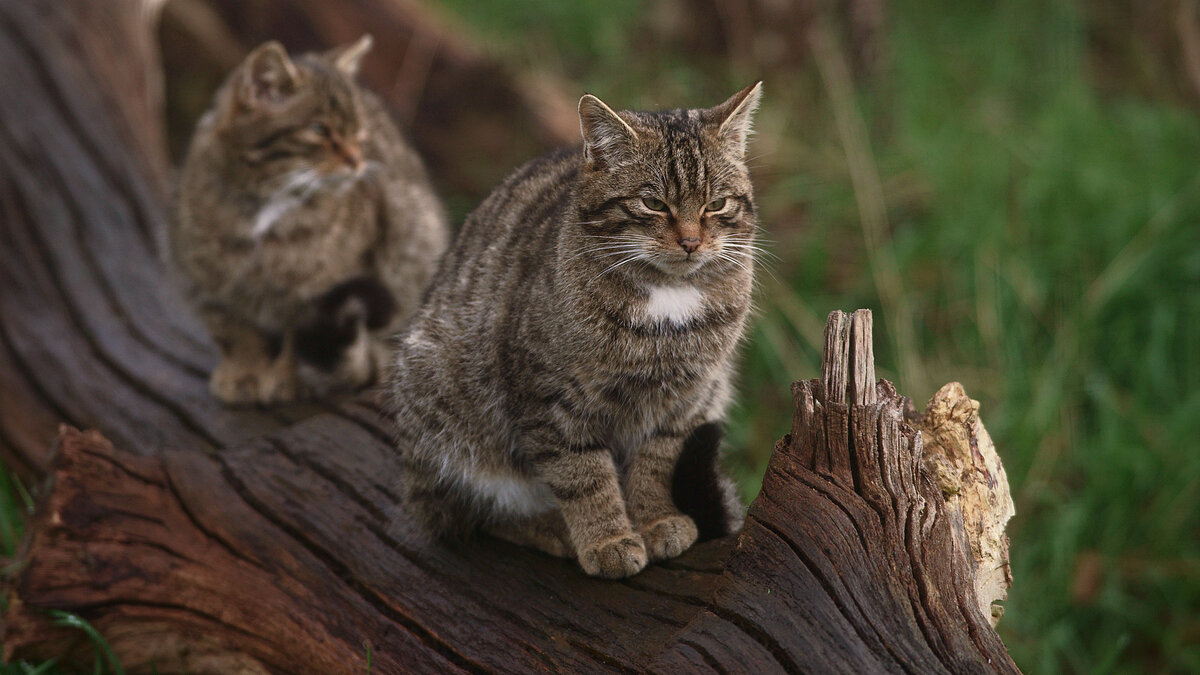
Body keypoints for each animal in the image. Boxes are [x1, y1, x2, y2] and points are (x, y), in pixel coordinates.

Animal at [171, 36, 448, 401]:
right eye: (319, 130)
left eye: (360, 134)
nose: (358, 160)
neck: (268, 201)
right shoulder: (205, 282)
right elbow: (234, 334)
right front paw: (243, 374)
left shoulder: (321, 290)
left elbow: (299, 335)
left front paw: (291, 379)